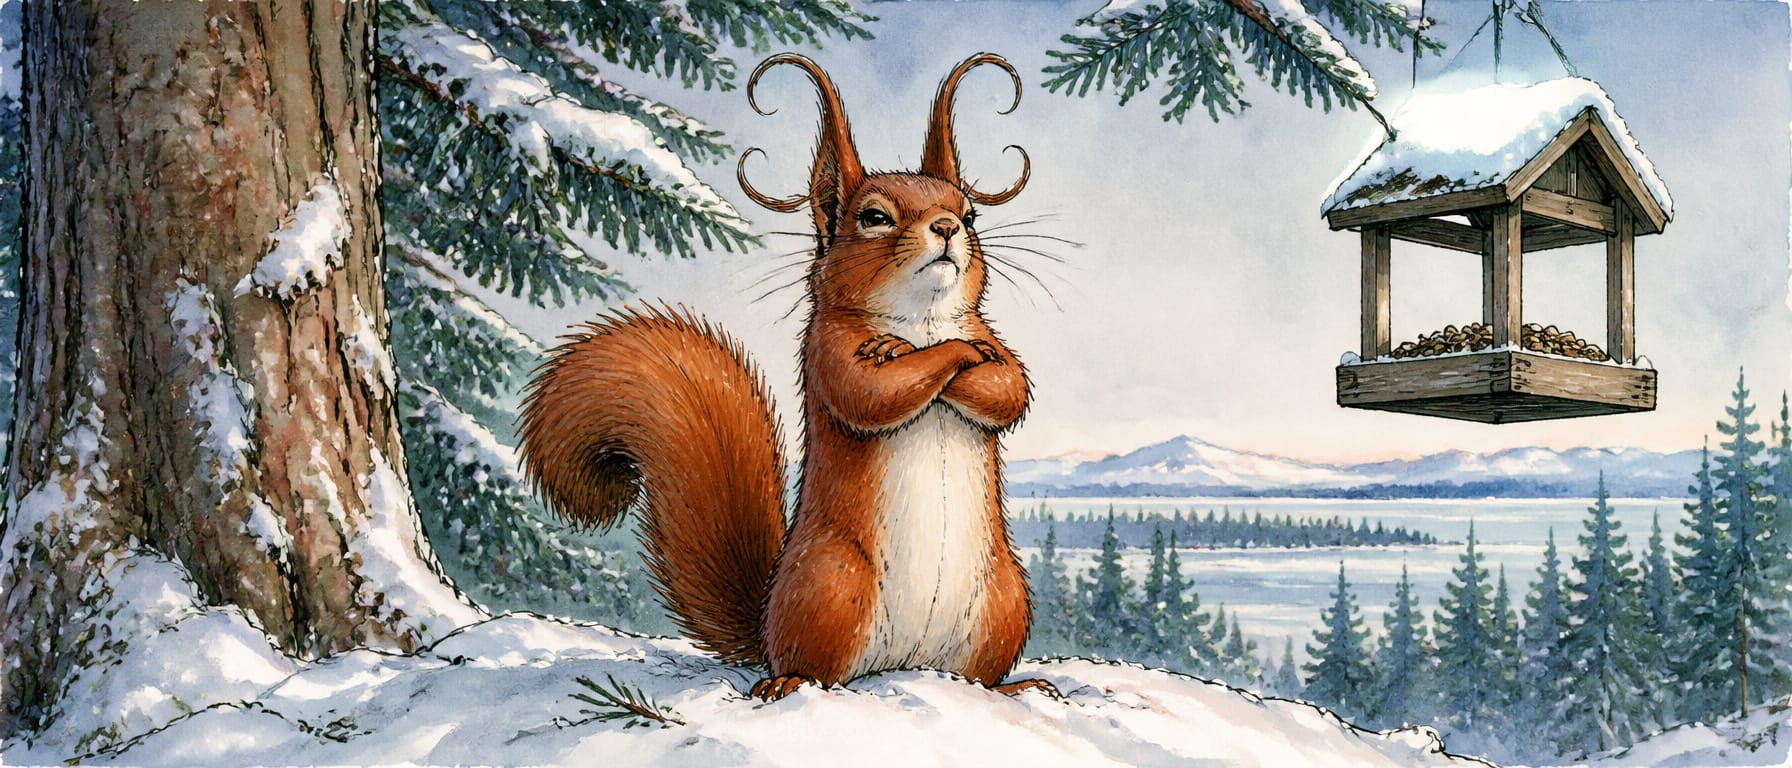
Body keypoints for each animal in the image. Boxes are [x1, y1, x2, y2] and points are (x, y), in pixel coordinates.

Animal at [516, 52, 1053, 701]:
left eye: (971, 214)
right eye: (874, 217)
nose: (949, 226)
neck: (921, 317)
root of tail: (904, 662)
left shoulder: (993, 339)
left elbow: (1008, 387)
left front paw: (952, 357)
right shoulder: (825, 352)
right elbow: (868, 394)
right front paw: (906, 351)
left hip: (1005, 600)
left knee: (978, 672)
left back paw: (1014, 687)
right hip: (829, 587)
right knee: (811, 662)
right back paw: (786, 683)